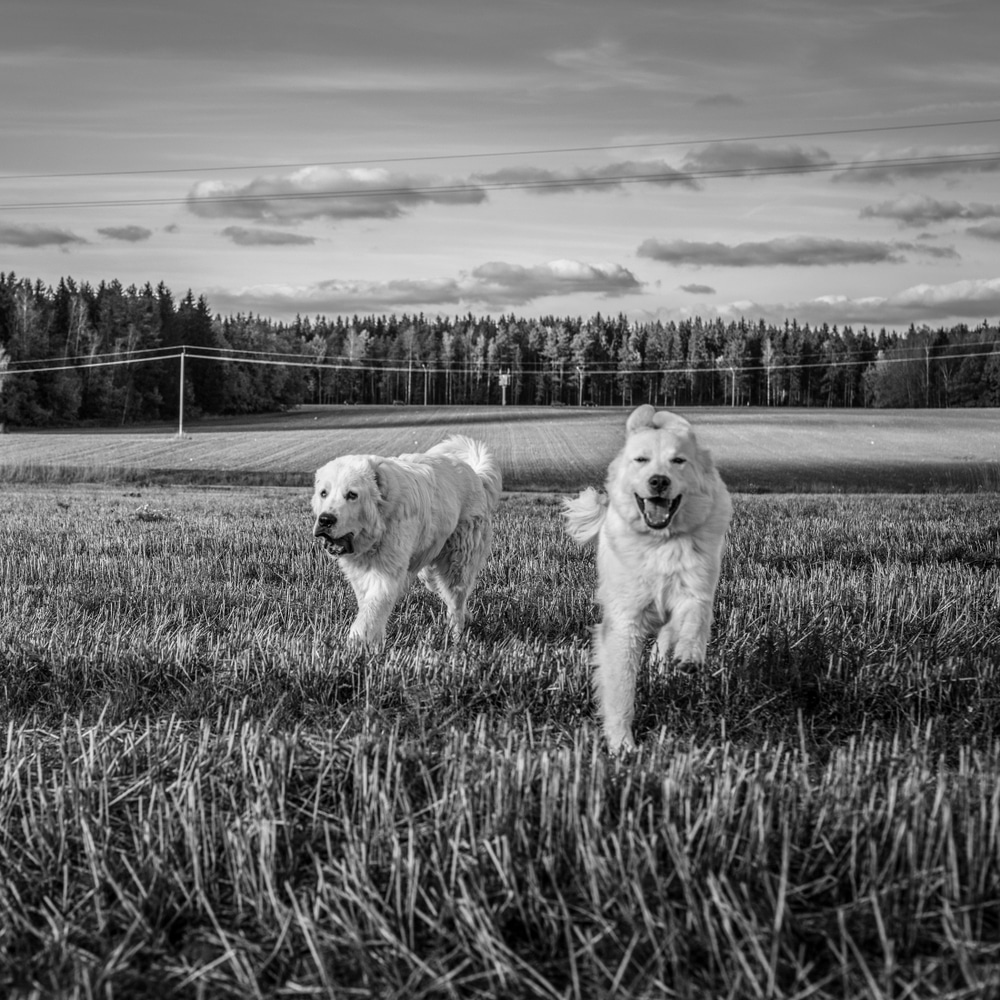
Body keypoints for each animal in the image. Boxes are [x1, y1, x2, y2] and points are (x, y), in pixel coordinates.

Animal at [310, 434, 500, 644]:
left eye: (352, 495)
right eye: (323, 493)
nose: (325, 520)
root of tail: (475, 474)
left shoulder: (385, 573)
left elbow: (372, 609)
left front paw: (358, 641)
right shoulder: (360, 573)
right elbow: (366, 604)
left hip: (458, 562)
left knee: (455, 600)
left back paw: (456, 636)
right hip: (428, 569)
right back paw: (467, 618)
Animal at [564, 404, 736, 752]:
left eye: (678, 460)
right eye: (641, 460)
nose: (658, 481)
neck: (661, 542)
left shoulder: (696, 592)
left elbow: (695, 620)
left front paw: (689, 656)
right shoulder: (624, 622)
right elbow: (621, 689)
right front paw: (622, 745)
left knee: (666, 639)